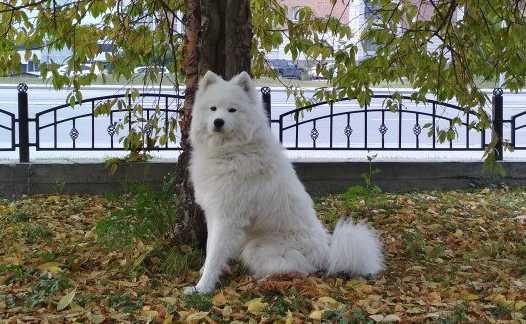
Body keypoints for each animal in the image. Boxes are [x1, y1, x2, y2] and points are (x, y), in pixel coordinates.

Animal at [186, 72, 384, 294]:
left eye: (232, 110)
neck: (229, 151)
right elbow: (210, 248)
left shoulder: (228, 218)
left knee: (300, 270)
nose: (218, 122)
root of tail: (328, 253)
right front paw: (204, 272)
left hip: (257, 248)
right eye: (213, 109)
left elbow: (215, 254)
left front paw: (202, 288)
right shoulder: (214, 213)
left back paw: (267, 281)